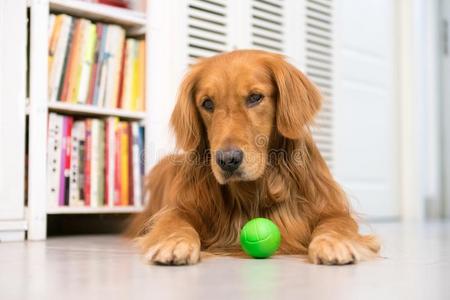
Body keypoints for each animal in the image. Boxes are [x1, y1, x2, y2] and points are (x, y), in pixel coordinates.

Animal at [127, 49, 380, 264]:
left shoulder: (329, 208)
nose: (228, 160)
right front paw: (173, 242)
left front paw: (334, 243)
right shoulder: (180, 209)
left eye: (255, 97)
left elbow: (337, 224)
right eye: (207, 103)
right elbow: (173, 222)